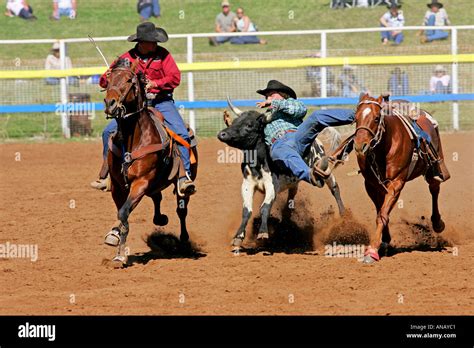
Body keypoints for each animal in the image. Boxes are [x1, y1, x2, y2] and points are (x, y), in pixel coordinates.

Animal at [101, 59, 197, 266]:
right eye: (109, 78)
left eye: (129, 80)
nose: (110, 103)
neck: (133, 139)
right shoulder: (118, 186)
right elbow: (121, 213)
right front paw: (115, 237)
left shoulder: (141, 182)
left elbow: (124, 213)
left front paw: (121, 255)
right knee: (157, 197)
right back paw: (160, 219)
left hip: (183, 182)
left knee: (181, 209)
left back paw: (184, 241)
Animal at [354, 94, 450, 262]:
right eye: (355, 117)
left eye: (377, 118)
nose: (360, 146)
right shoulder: (371, 185)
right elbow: (381, 212)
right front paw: (384, 242)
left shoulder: (396, 184)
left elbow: (382, 214)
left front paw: (372, 251)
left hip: (434, 169)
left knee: (434, 190)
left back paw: (437, 223)